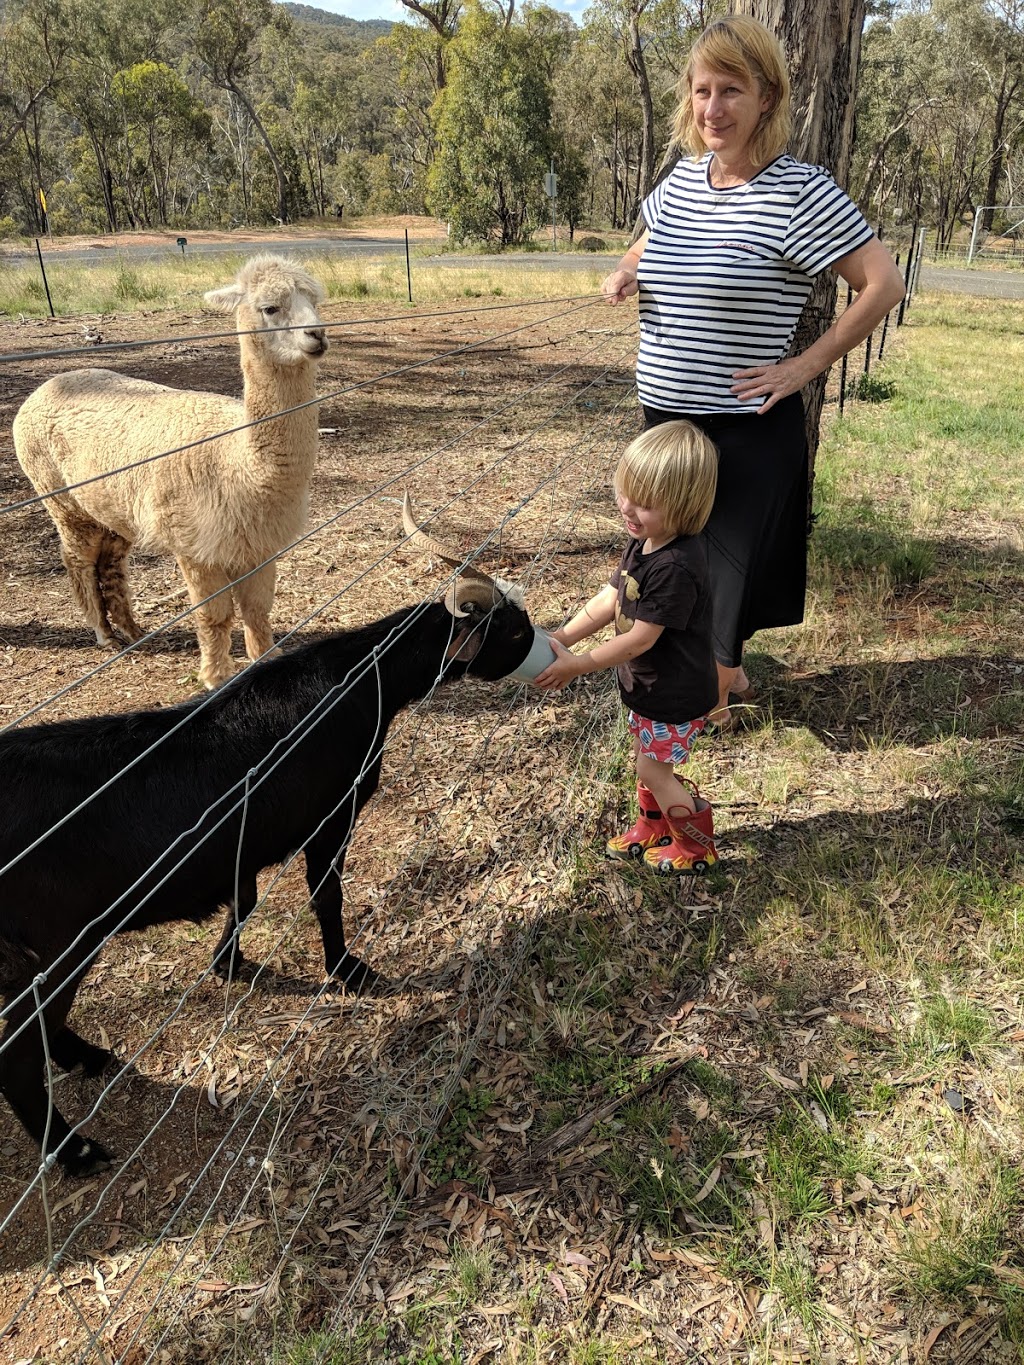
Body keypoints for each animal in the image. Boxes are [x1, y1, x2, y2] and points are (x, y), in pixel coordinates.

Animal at [2, 556, 537, 1184]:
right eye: (513, 633)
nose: (544, 645)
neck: (363, 678)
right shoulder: (332, 815)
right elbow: (325, 895)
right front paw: (347, 970)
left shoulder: (242, 845)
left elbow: (246, 899)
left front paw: (227, 963)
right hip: (57, 947)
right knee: (15, 1059)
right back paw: (74, 1151)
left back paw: (84, 1057)